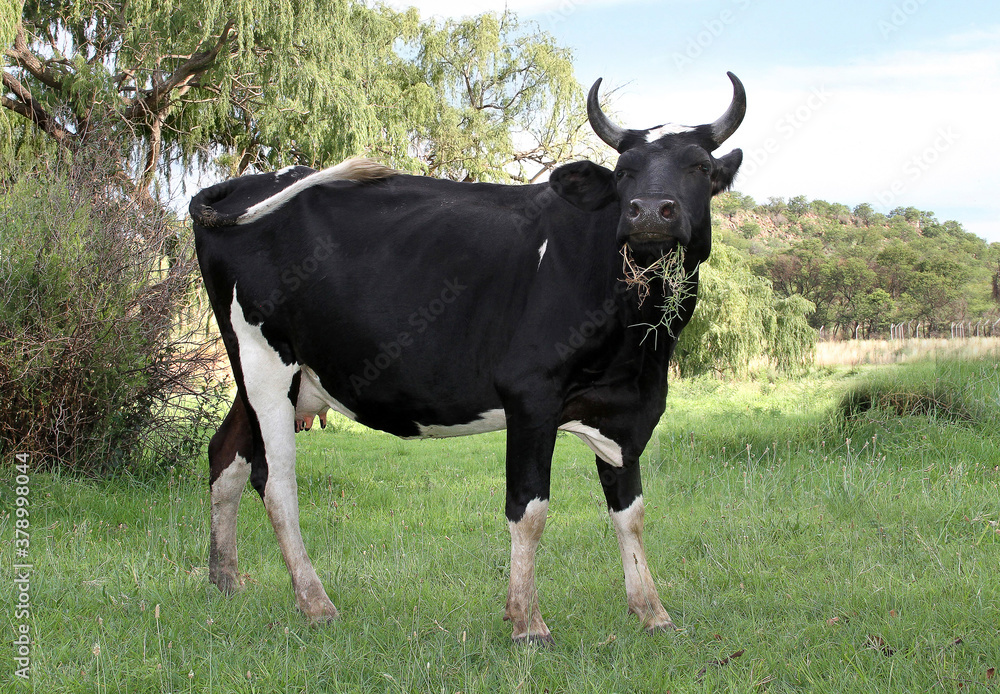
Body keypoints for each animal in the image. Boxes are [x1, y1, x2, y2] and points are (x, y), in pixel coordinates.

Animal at [191, 73, 746, 644]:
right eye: (622, 173)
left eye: (701, 167)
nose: (650, 211)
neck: (639, 351)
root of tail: (240, 185)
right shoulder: (531, 395)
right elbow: (529, 510)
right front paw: (528, 623)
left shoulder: (626, 411)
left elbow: (630, 512)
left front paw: (652, 612)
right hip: (263, 360)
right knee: (275, 482)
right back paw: (315, 603)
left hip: (272, 374)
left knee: (225, 454)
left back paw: (226, 581)